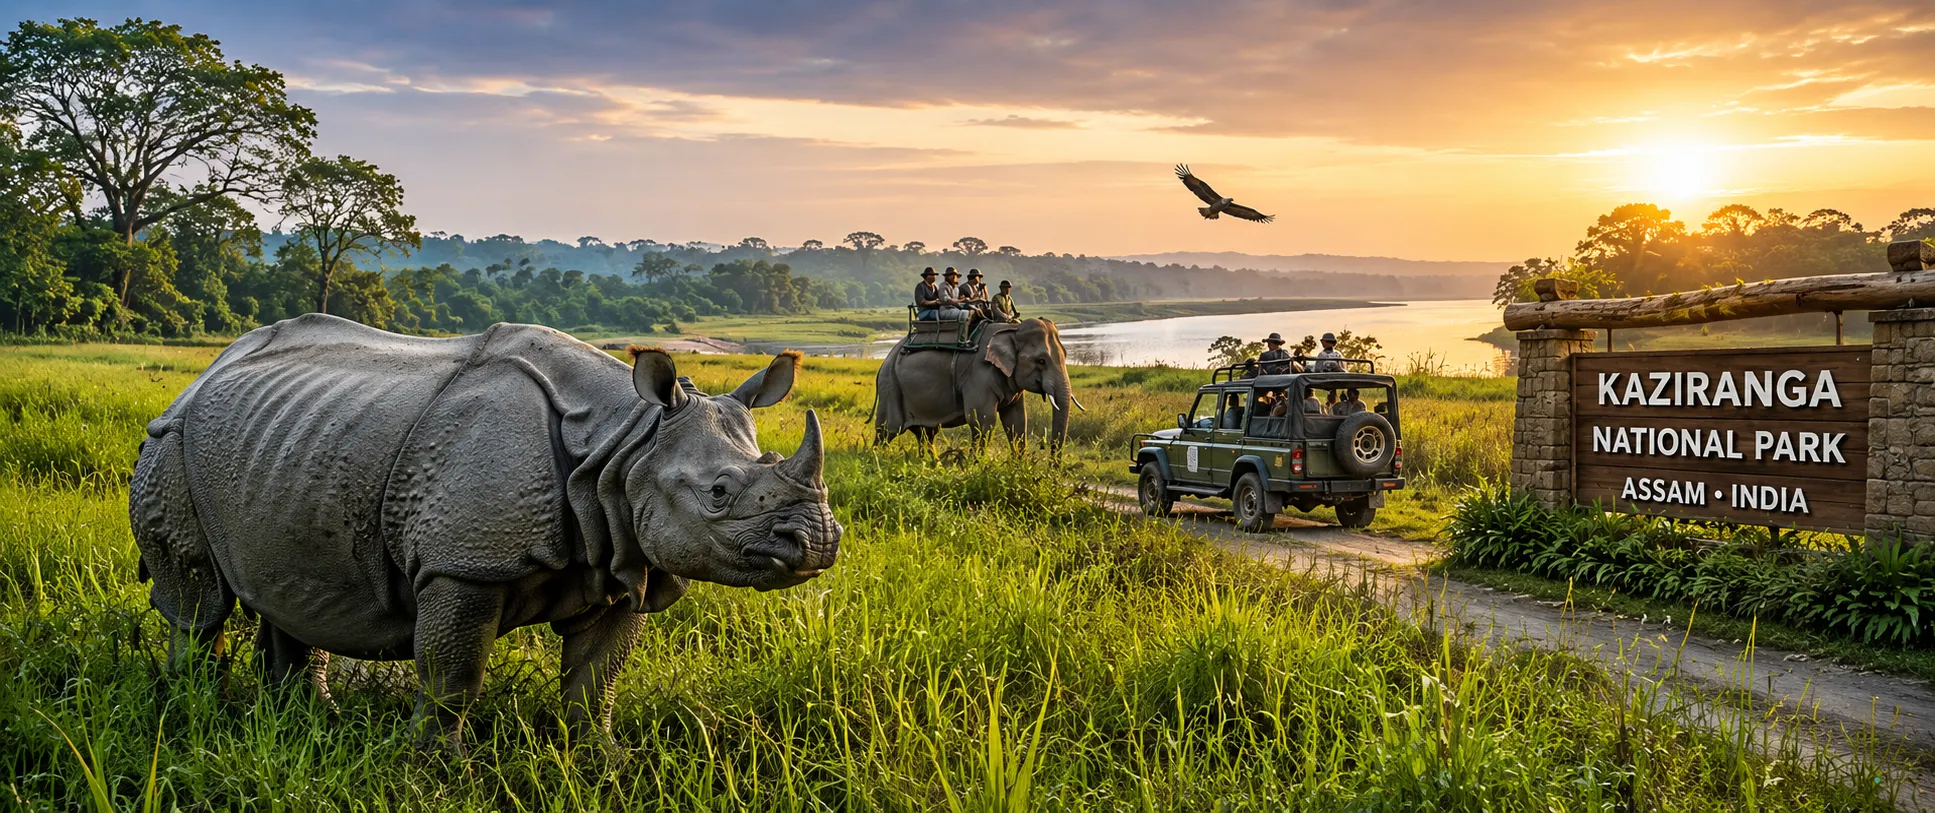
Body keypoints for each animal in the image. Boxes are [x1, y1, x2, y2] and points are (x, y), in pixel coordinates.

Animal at [129, 313, 839, 750]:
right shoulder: (461, 563)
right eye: (719, 494)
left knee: (288, 595)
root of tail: (205, 372)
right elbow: (452, 676)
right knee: (199, 604)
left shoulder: (624, 554)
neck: (626, 443)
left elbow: (596, 681)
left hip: (291, 445)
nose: (817, 544)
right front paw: (437, 769)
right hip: (171, 443)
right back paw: (193, 712)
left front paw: (605, 762)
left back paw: (307, 721)